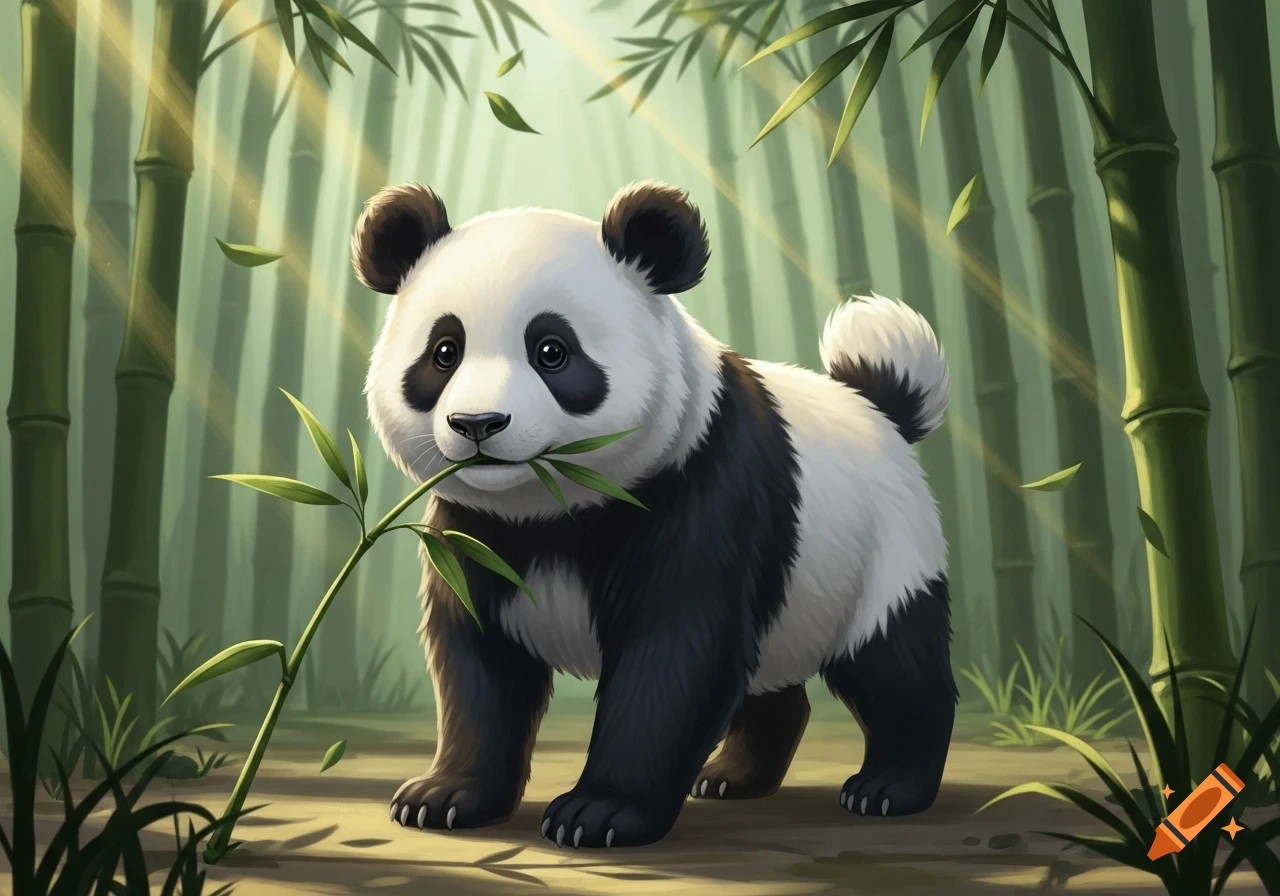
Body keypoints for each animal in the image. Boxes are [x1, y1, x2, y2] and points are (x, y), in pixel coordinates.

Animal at [353, 179, 957, 850]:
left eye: (552, 351)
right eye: (444, 352)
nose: (478, 424)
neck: (551, 508)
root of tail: (878, 407)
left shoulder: (698, 484)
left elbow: (674, 654)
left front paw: (598, 813)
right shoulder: (476, 528)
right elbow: (479, 662)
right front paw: (445, 796)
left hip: (881, 553)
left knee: (894, 661)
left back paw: (888, 786)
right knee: (771, 679)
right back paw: (732, 776)